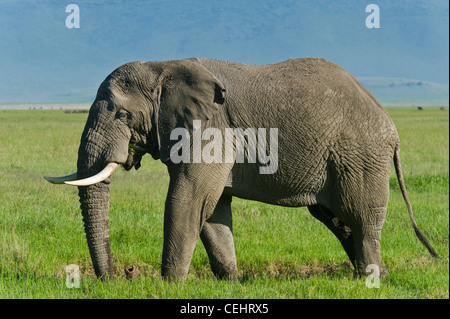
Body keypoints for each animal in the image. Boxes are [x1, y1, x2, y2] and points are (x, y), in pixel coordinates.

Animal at [44, 57, 438, 280]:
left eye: (123, 115)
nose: (112, 278)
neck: (162, 67)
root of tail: (390, 125)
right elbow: (212, 209)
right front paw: (230, 282)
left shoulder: (212, 128)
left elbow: (188, 199)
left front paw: (169, 284)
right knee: (337, 219)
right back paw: (366, 275)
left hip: (360, 155)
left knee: (362, 217)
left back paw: (374, 278)